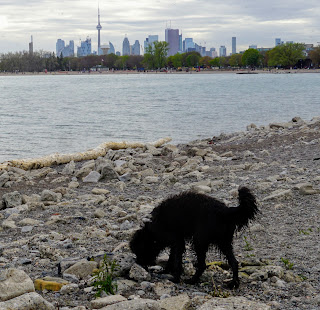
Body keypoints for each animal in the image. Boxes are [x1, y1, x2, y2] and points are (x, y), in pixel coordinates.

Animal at [130, 186, 258, 288]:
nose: (139, 263)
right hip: (224, 243)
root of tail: (225, 211)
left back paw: (192, 280)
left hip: (199, 241)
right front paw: (166, 271)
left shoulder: (177, 242)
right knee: (234, 262)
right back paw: (234, 283)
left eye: (139, 251)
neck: (151, 231)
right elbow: (171, 259)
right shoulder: (177, 242)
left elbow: (176, 261)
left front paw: (175, 278)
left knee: (202, 265)